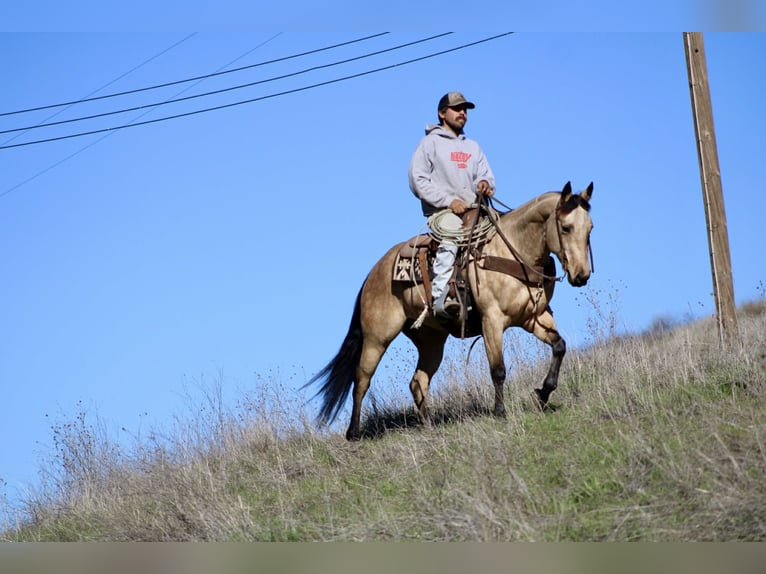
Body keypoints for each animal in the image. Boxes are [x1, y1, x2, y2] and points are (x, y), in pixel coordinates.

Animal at [306, 181, 594, 440]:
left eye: (590, 228)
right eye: (566, 227)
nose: (582, 275)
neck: (514, 252)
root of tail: (373, 273)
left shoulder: (535, 318)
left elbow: (559, 346)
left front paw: (544, 393)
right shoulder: (492, 320)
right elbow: (498, 369)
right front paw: (500, 412)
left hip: (431, 340)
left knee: (418, 381)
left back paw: (429, 427)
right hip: (378, 336)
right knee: (362, 378)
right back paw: (354, 433)